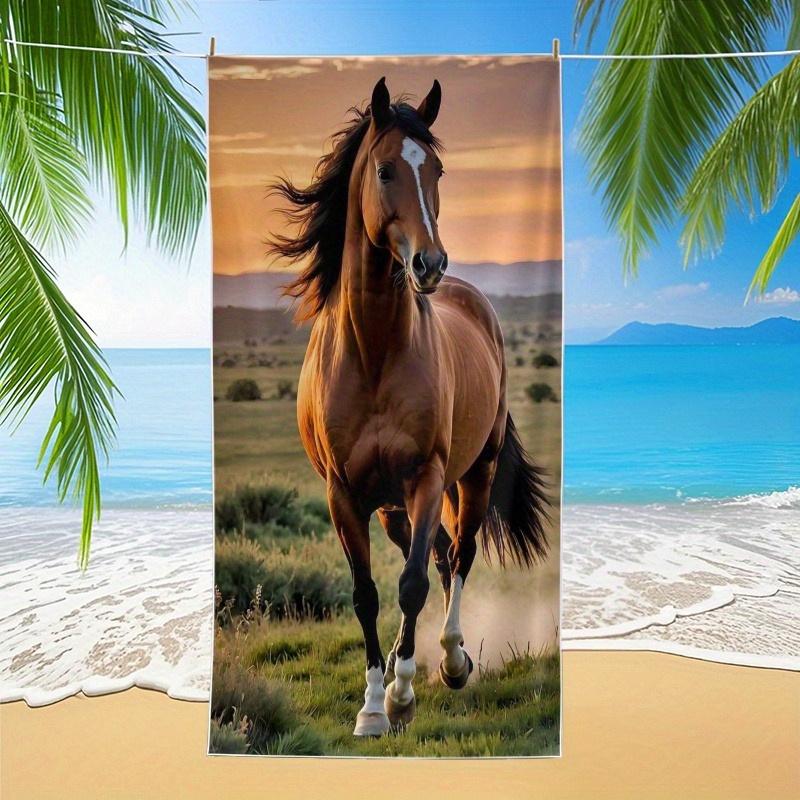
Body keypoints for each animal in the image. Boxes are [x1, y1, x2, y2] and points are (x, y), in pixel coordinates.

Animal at [267, 77, 549, 736]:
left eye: (438, 170)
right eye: (384, 169)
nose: (430, 264)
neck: (374, 351)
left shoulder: (427, 476)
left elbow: (413, 583)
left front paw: (401, 692)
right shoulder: (344, 494)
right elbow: (367, 593)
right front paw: (374, 704)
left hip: (472, 475)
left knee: (459, 555)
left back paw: (451, 661)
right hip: (393, 507)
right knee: (442, 557)